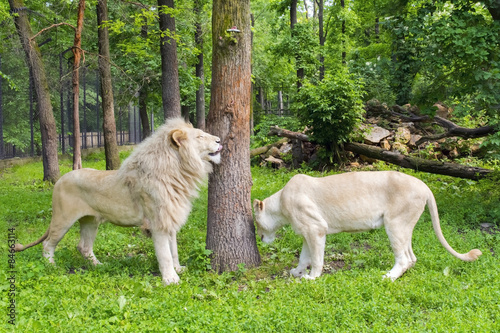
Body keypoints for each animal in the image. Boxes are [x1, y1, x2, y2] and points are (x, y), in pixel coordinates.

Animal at [14, 118, 222, 284]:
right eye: (200, 137)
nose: (220, 140)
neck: (179, 172)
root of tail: (60, 179)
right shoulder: (157, 223)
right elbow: (165, 254)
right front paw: (171, 279)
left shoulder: (169, 219)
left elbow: (174, 250)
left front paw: (179, 269)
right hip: (62, 218)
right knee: (48, 244)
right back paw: (51, 266)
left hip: (91, 220)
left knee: (84, 247)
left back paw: (98, 266)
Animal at [254, 171, 480, 280]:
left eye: (256, 222)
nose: (259, 237)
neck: (281, 205)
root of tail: (425, 186)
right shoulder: (306, 232)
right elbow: (304, 257)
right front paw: (296, 272)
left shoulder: (316, 228)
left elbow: (317, 258)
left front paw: (312, 278)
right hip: (405, 226)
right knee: (412, 257)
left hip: (394, 223)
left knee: (404, 259)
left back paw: (389, 277)